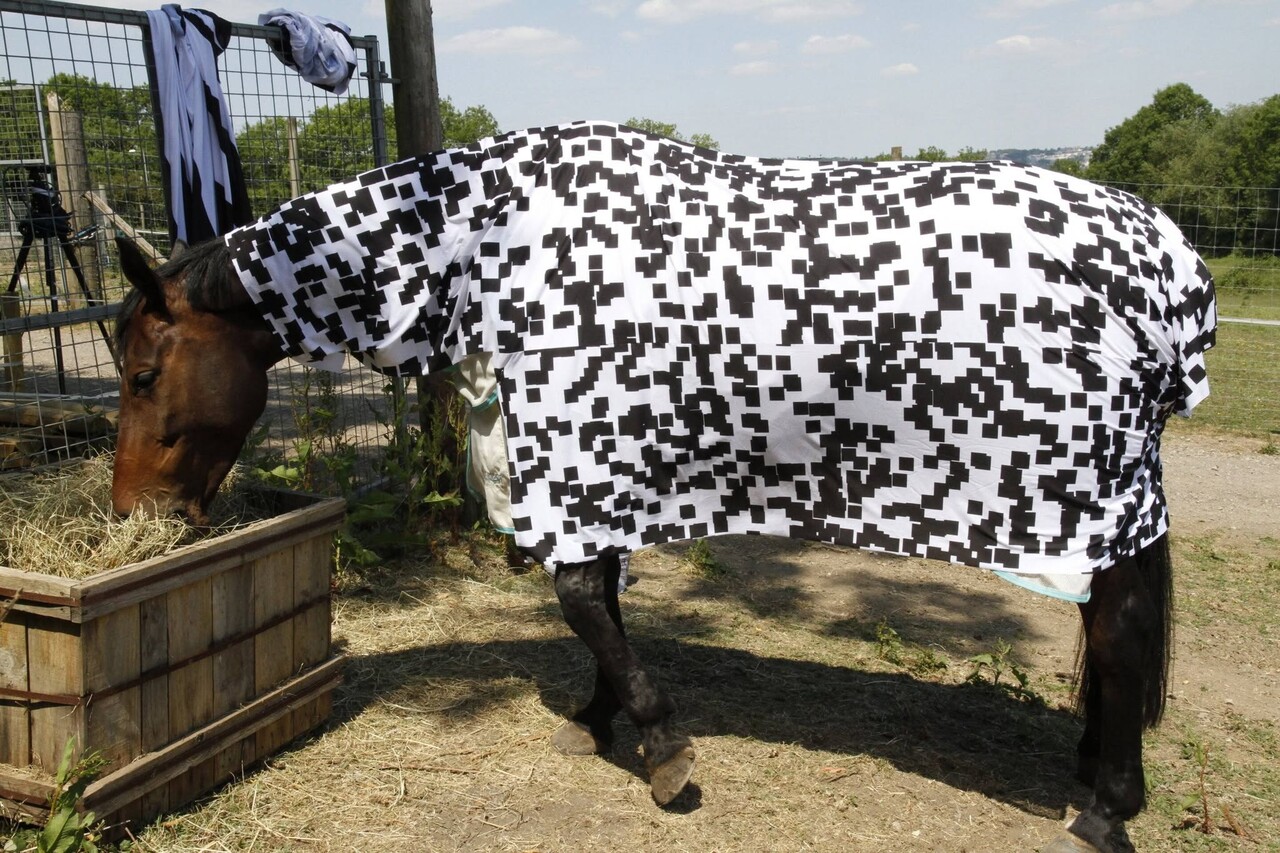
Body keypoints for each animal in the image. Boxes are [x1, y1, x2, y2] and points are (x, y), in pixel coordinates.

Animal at [112, 121, 1216, 852]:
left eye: (141, 372)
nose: (137, 515)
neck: (492, 240)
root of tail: (1163, 262)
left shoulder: (578, 449)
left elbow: (578, 595)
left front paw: (656, 742)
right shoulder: (603, 468)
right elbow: (599, 596)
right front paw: (603, 717)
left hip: (1095, 498)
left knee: (1119, 630)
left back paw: (1106, 805)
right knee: (1110, 636)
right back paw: (1089, 765)